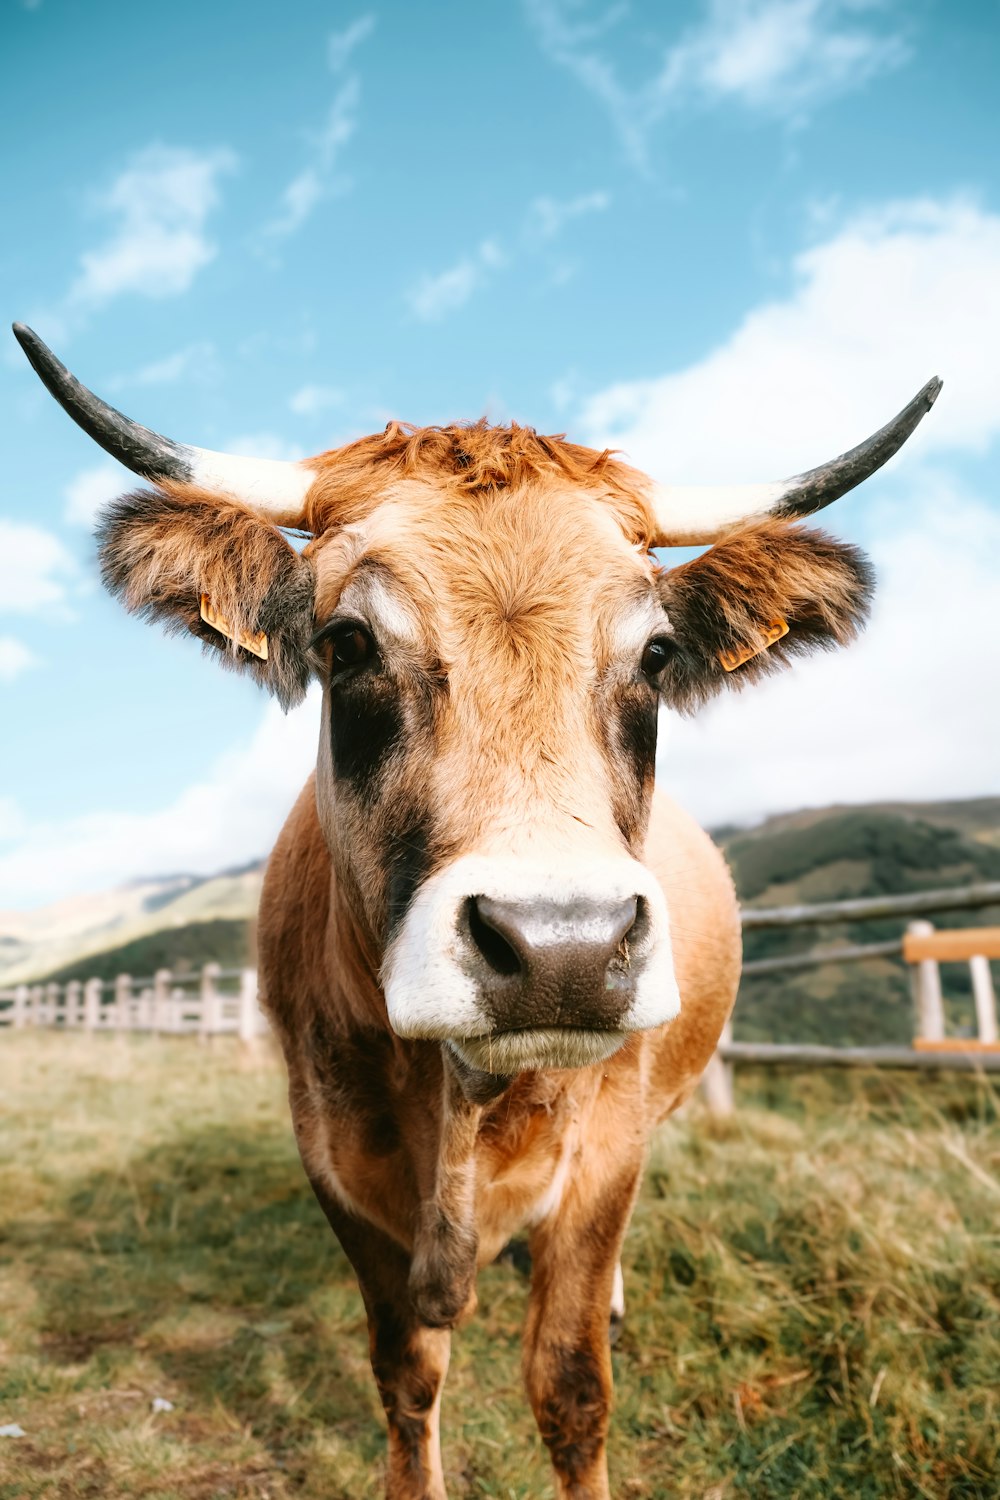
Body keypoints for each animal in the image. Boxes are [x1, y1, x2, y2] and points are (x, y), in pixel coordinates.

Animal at [15, 328, 941, 1500]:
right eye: (347, 643)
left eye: (656, 654)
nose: (563, 949)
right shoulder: (337, 1164)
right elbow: (407, 1375)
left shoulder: (603, 1164)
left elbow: (570, 1389)